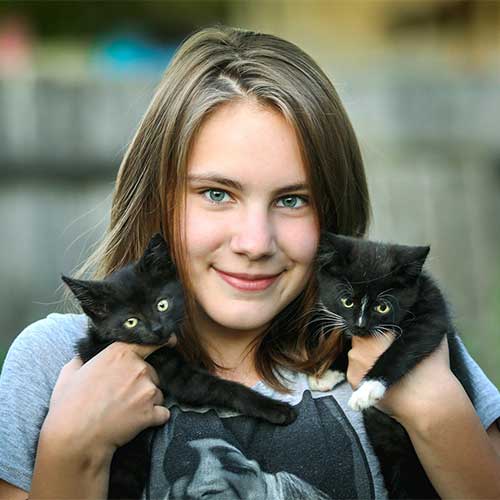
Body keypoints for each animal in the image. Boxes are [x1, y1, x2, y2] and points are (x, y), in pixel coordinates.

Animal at [62, 233, 296, 500]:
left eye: (162, 305)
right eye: (131, 321)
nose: (157, 329)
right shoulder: (175, 374)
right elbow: (225, 388)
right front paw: (276, 408)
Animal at [308, 231, 475, 499]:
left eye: (382, 307)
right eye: (347, 301)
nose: (360, 326)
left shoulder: (432, 314)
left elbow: (401, 350)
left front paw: (367, 389)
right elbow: (349, 342)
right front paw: (327, 373)